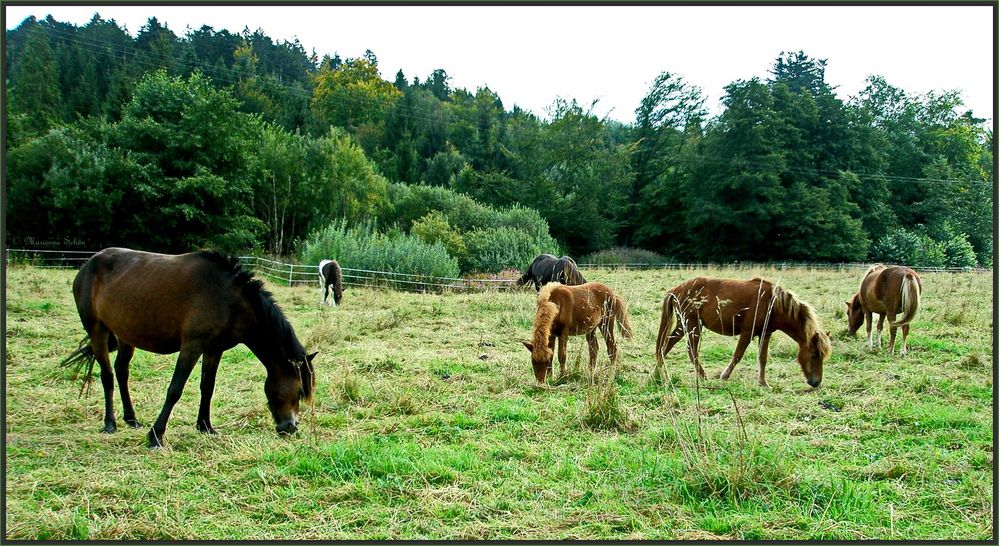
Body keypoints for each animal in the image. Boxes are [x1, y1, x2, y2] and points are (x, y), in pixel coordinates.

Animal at [60, 246, 316, 446]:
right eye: (300, 391)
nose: (291, 427)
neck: (228, 299)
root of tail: (88, 264)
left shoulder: (214, 349)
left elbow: (207, 387)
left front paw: (205, 426)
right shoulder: (192, 346)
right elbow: (175, 389)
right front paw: (156, 435)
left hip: (125, 335)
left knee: (122, 371)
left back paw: (131, 419)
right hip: (97, 330)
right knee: (108, 375)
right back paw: (110, 423)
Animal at [656, 276, 836, 386]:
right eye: (814, 355)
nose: (816, 382)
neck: (773, 303)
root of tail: (677, 290)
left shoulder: (765, 334)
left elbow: (762, 358)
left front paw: (763, 383)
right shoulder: (747, 331)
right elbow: (738, 355)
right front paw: (724, 375)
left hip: (684, 325)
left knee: (666, 346)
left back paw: (660, 372)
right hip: (693, 325)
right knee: (691, 351)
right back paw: (701, 375)